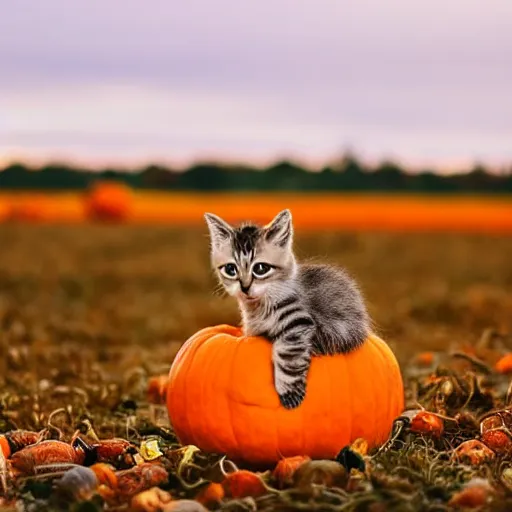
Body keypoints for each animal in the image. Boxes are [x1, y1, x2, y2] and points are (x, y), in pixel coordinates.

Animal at [206, 210, 370, 410]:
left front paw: (289, 393)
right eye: (231, 269)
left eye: (260, 268)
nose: (244, 287)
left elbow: (286, 354)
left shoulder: (300, 322)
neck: (258, 307)